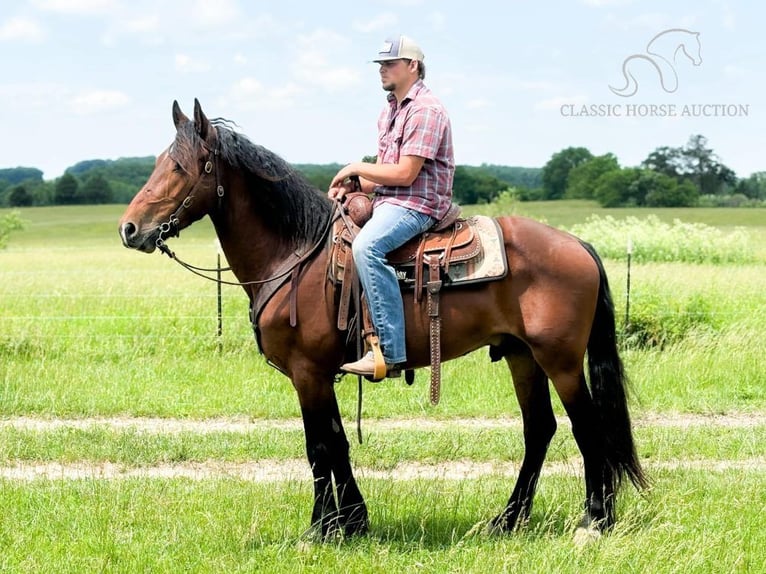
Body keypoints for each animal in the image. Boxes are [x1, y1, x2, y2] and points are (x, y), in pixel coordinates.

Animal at [118, 100, 648, 544]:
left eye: (181, 168)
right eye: (159, 162)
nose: (129, 229)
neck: (295, 254)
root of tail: (577, 245)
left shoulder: (307, 372)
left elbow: (318, 447)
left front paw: (319, 530)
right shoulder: (319, 374)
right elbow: (336, 443)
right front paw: (352, 522)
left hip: (560, 359)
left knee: (586, 427)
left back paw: (594, 521)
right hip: (521, 355)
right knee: (539, 429)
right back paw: (507, 520)